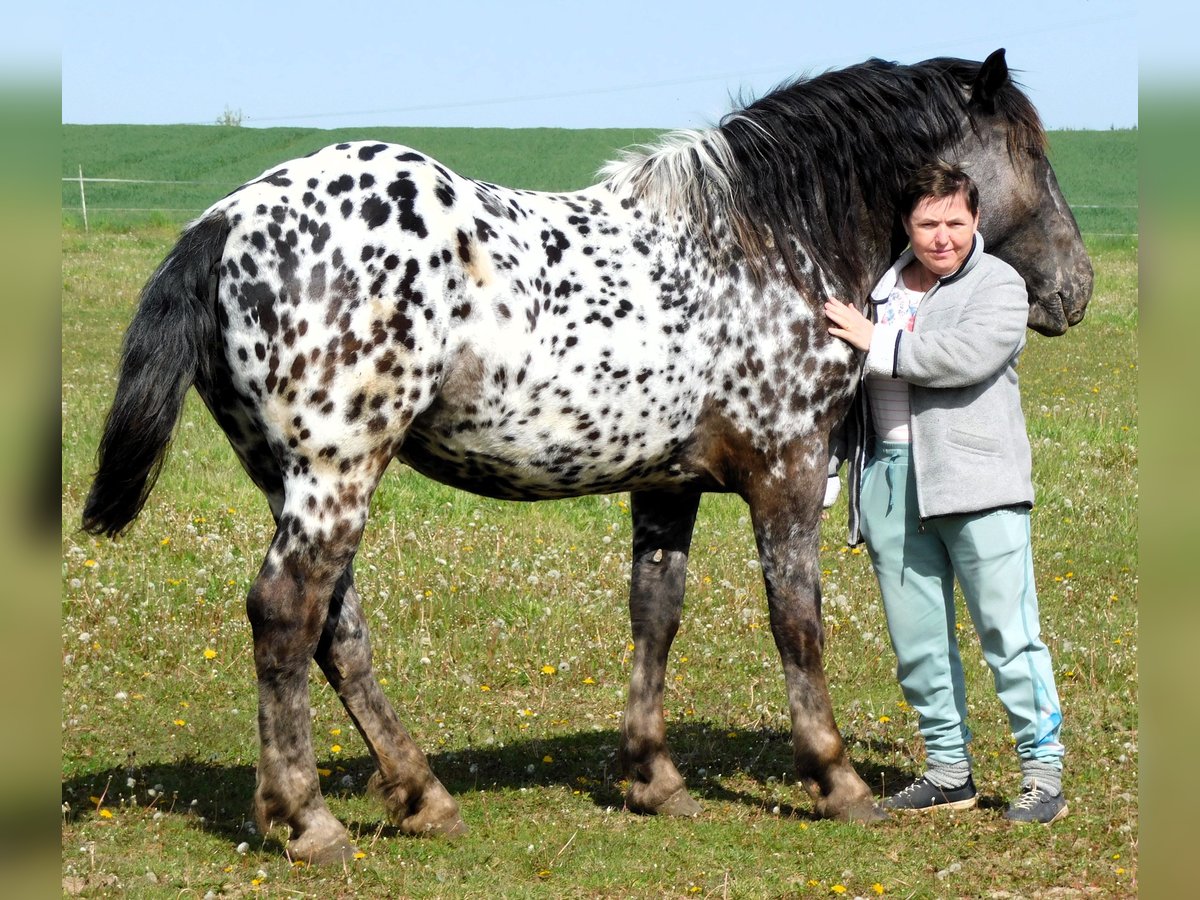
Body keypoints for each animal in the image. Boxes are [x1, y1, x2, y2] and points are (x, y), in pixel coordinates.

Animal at [82, 51, 1099, 868]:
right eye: (1033, 153)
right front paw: (837, 781)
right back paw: (308, 820)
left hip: (292, 478)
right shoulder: (788, 473)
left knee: (337, 629)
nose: (1074, 289)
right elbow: (797, 624)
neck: (765, 244)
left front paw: (654, 779)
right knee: (289, 615)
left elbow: (656, 612)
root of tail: (226, 221)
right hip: (335, 474)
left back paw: (422, 797)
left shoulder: (667, 485)